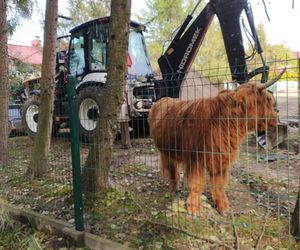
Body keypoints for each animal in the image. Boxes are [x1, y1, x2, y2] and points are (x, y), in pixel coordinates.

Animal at [149, 71, 284, 216]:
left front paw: (223, 208)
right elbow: (196, 185)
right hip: (166, 151)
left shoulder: (221, 159)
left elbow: (219, 186)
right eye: (266, 101)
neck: (224, 123)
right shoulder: (195, 159)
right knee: (172, 169)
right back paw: (173, 188)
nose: (276, 119)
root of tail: (163, 100)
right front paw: (193, 208)